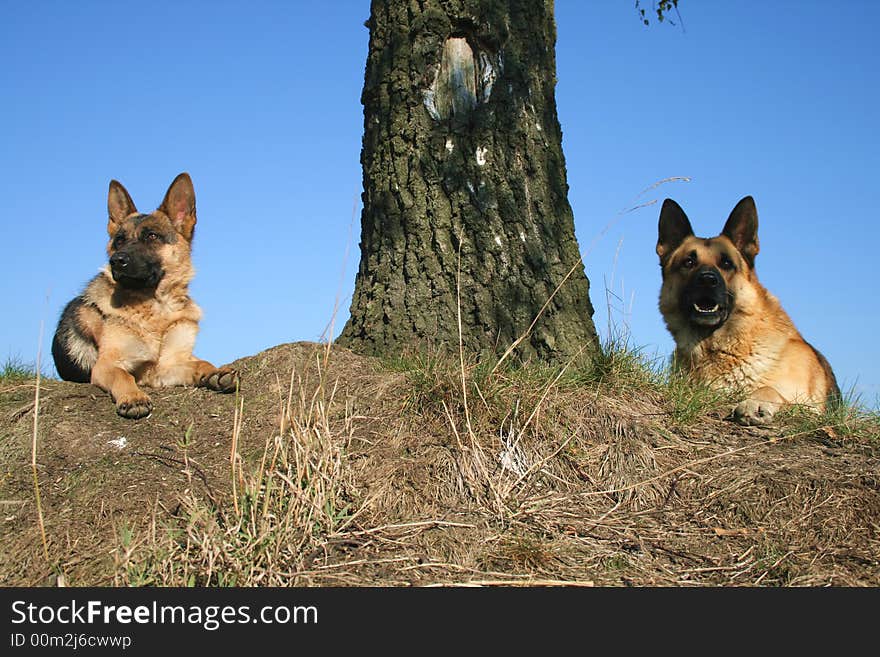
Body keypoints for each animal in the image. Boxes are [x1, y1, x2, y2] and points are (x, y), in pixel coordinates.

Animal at [51, 173, 237, 420]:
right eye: (119, 240)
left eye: (152, 236)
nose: (116, 261)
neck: (156, 310)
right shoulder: (108, 365)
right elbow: (123, 375)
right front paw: (133, 398)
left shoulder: (168, 365)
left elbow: (200, 363)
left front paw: (214, 372)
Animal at [660, 195, 840, 422]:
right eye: (689, 262)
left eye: (727, 263)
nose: (707, 280)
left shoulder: (812, 410)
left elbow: (770, 389)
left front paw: (755, 402)